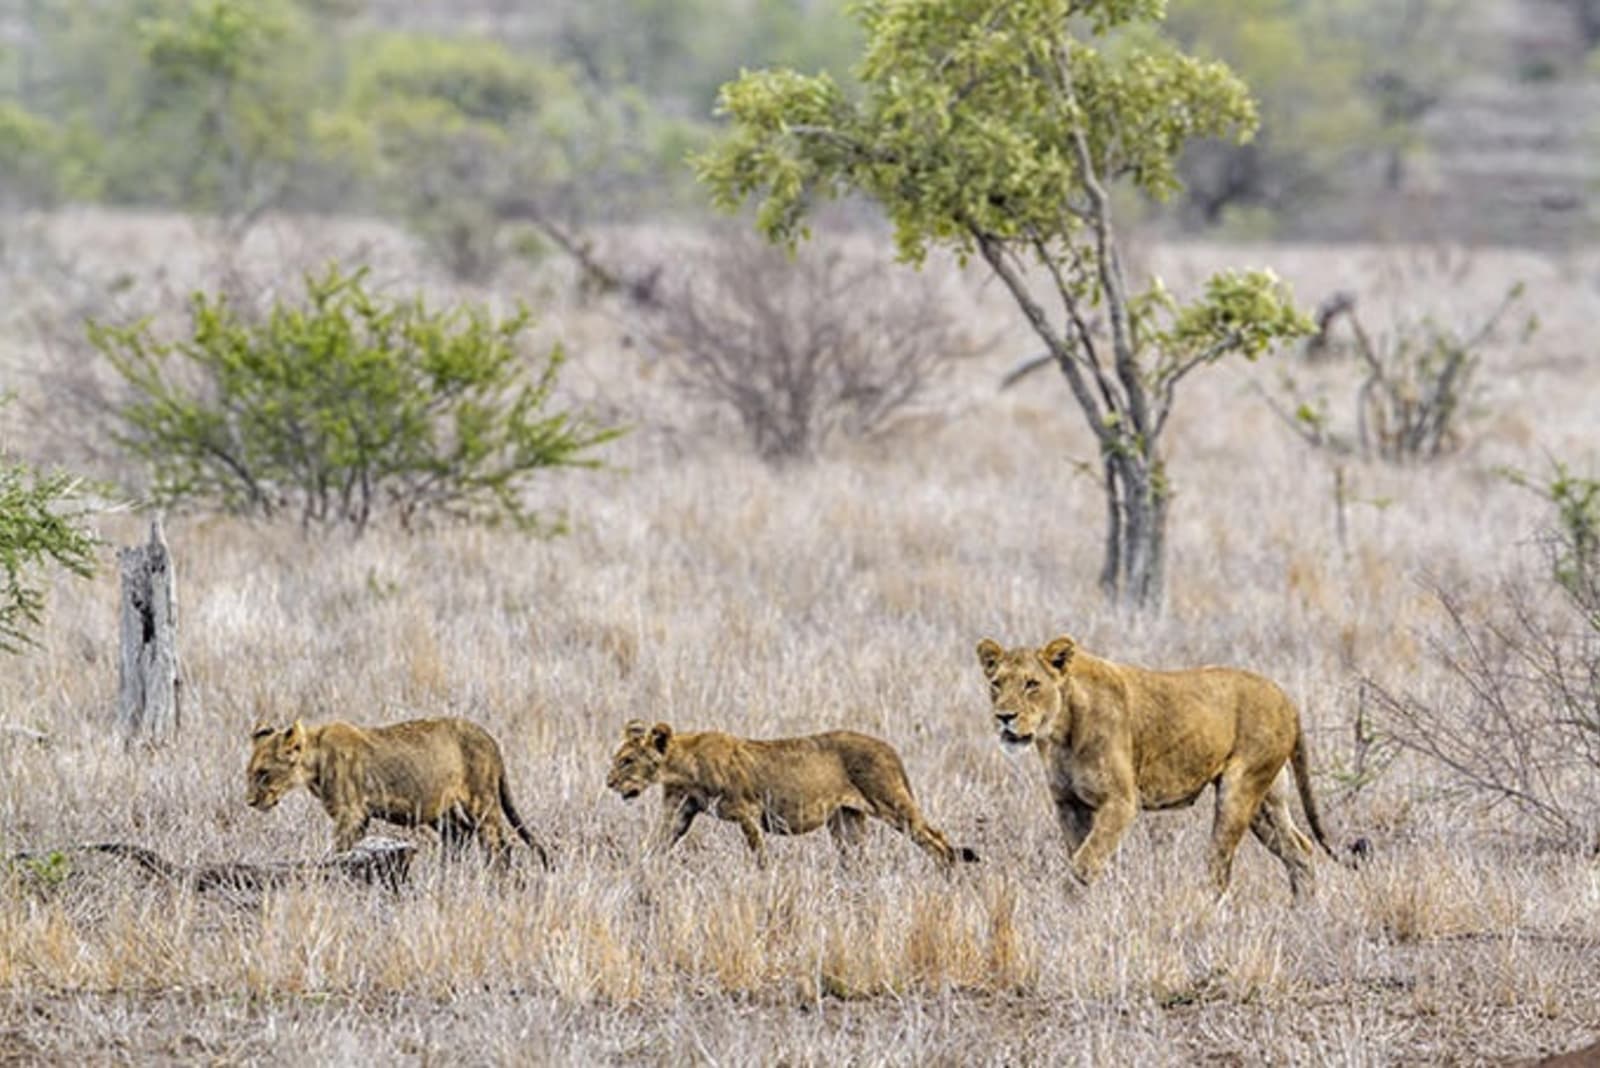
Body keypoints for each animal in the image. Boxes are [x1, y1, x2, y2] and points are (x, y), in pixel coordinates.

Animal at [246, 716, 550, 869]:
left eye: (263, 773)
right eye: (249, 772)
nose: (249, 802)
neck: (314, 760)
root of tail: (491, 739)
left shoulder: (352, 814)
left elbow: (339, 851)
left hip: (481, 799)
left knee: (499, 844)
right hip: (435, 805)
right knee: (459, 832)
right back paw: (446, 875)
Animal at [605, 719, 979, 870]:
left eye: (627, 761)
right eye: (617, 758)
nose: (609, 782)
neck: (682, 764)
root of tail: (889, 747)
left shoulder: (748, 810)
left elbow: (759, 854)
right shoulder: (678, 811)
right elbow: (654, 846)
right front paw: (636, 875)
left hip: (892, 802)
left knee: (937, 840)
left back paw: (949, 878)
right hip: (846, 820)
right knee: (859, 861)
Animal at [976, 635, 1339, 899]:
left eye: (1031, 684)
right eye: (996, 683)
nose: (1004, 717)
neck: (1060, 731)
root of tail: (1286, 698)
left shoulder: (1121, 802)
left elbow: (1084, 863)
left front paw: (1067, 906)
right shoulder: (1069, 804)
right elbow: (1081, 856)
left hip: (1240, 788)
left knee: (1220, 864)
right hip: (1266, 801)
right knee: (1299, 850)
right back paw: (1303, 914)